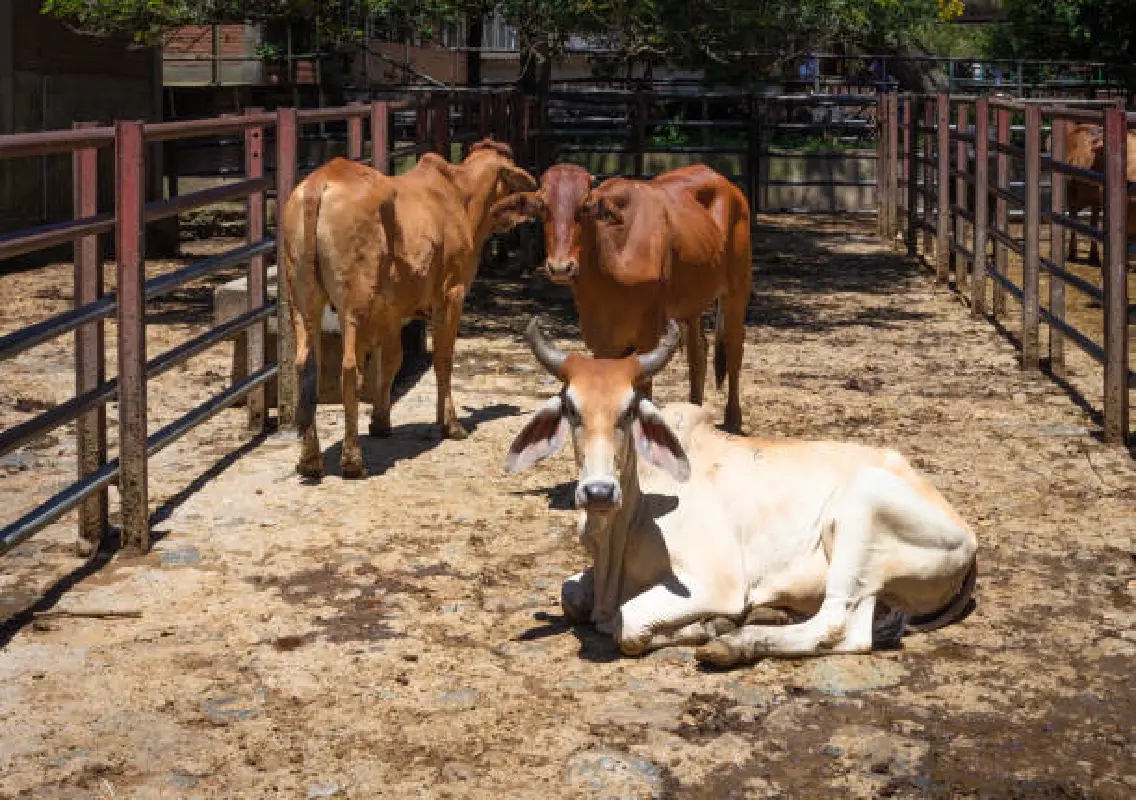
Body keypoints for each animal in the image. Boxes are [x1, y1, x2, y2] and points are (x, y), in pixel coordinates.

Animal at [279, 139, 537, 480]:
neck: (459, 195)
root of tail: (320, 181)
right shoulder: (452, 295)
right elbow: (443, 359)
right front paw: (451, 424)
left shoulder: (390, 313)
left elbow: (390, 362)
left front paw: (380, 422)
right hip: (354, 305)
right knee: (349, 368)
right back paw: (352, 460)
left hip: (302, 302)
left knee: (306, 367)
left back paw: (309, 460)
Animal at [488, 163, 752, 433]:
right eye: (543, 206)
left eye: (585, 206)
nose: (561, 267)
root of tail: (727, 184)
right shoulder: (601, 338)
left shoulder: (649, 333)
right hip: (691, 303)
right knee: (698, 351)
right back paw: (694, 410)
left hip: (737, 290)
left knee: (734, 347)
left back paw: (733, 419)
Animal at [505, 317, 978, 666]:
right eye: (570, 408)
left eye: (631, 410)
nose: (599, 492)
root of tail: (966, 534)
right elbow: (571, 596)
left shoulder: (717, 582)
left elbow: (628, 624)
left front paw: (710, 627)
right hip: (875, 586)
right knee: (854, 632)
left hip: (861, 515)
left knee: (833, 625)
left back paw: (733, 644)